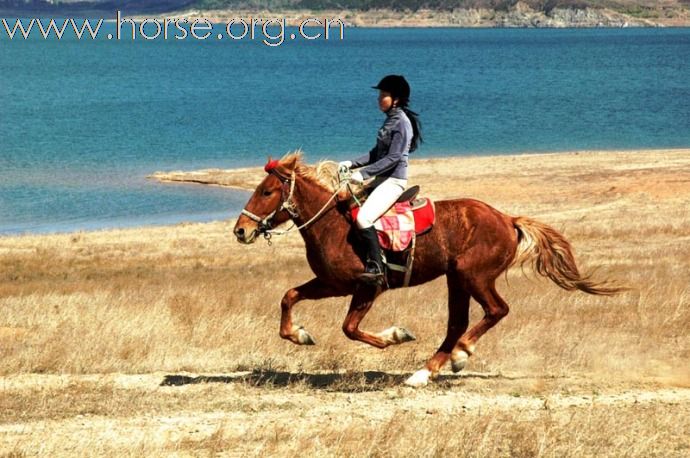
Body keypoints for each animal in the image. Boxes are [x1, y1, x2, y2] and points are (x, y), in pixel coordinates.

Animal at [232, 151, 620, 386]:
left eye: (266, 191)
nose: (241, 231)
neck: (333, 225)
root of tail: (507, 219)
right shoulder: (332, 283)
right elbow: (289, 296)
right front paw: (298, 334)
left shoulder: (367, 285)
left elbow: (350, 328)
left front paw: (395, 336)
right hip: (457, 279)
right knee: (458, 323)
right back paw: (425, 372)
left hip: (474, 276)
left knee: (496, 310)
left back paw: (461, 355)